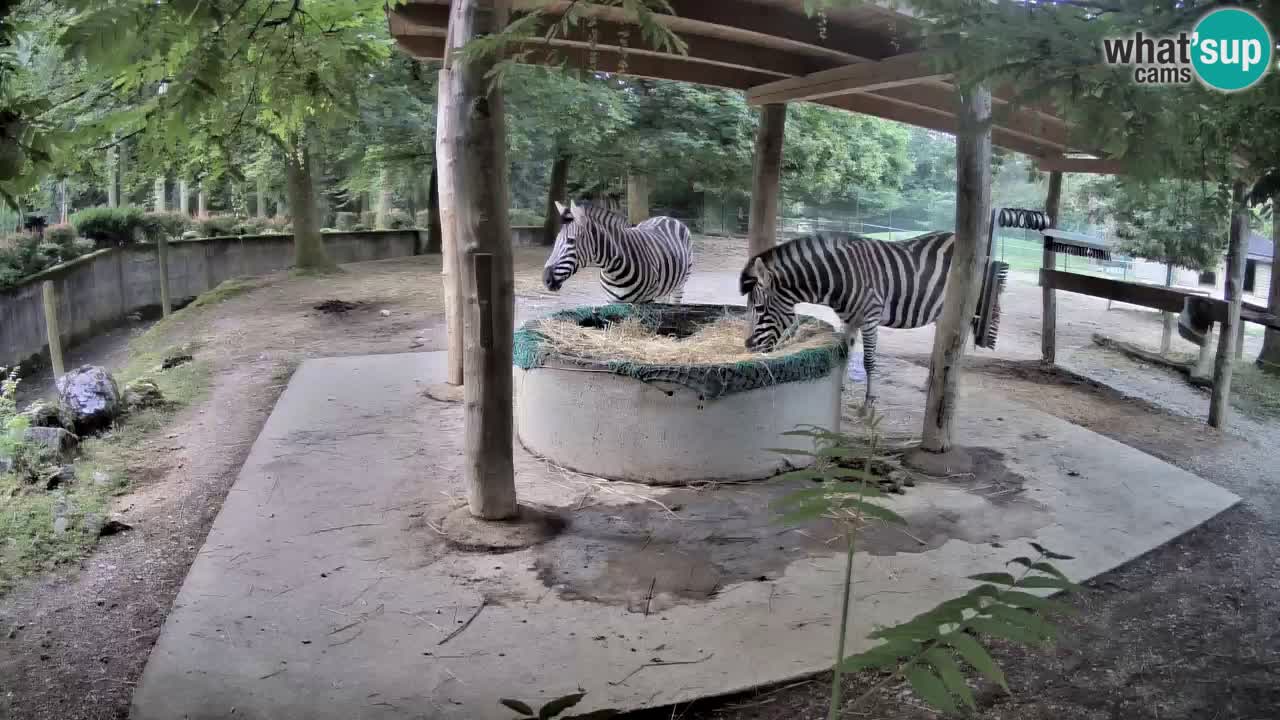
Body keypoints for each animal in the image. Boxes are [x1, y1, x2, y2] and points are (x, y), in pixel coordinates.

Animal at [542, 200, 693, 304]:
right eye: (556, 240)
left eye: (571, 241)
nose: (545, 280)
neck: (613, 271)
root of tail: (666, 217)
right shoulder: (612, 301)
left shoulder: (648, 300)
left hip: (680, 284)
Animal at [739, 230, 1002, 409]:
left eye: (759, 308)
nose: (748, 347)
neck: (840, 279)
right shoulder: (849, 319)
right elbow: (844, 352)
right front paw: (841, 388)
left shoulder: (870, 318)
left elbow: (869, 361)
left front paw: (868, 403)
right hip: (944, 312)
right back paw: (930, 383)